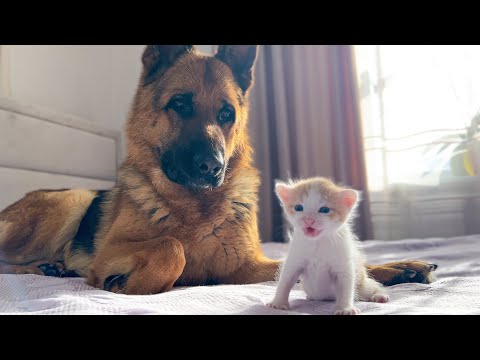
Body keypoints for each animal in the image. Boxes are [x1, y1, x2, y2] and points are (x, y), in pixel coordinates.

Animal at [0, 45, 436, 294]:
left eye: (227, 114)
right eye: (179, 104)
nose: (213, 167)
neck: (197, 208)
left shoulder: (247, 267)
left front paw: (398, 268)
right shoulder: (110, 253)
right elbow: (170, 247)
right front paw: (128, 283)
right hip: (70, 202)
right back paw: (45, 266)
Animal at [268, 177, 388, 316]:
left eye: (324, 210)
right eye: (298, 207)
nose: (308, 220)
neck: (317, 242)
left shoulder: (343, 262)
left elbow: (346, 285)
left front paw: (345, 308)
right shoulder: (294, 260)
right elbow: (285, 280)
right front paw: (278, 303)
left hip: (362, 284)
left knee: (371, 287)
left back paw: (379, 295)